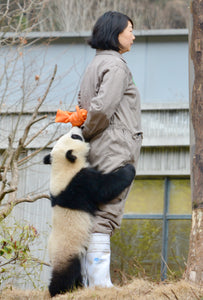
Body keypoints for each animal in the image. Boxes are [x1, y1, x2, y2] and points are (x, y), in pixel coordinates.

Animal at [43, 125, 135, 296]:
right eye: (75, 137)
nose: (78, 127)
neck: (62, 167)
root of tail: (52, 255)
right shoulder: (80, 182)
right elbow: (105, 188)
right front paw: (129, 169)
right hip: (68, 252)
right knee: (65, 275)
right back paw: (58, 291)